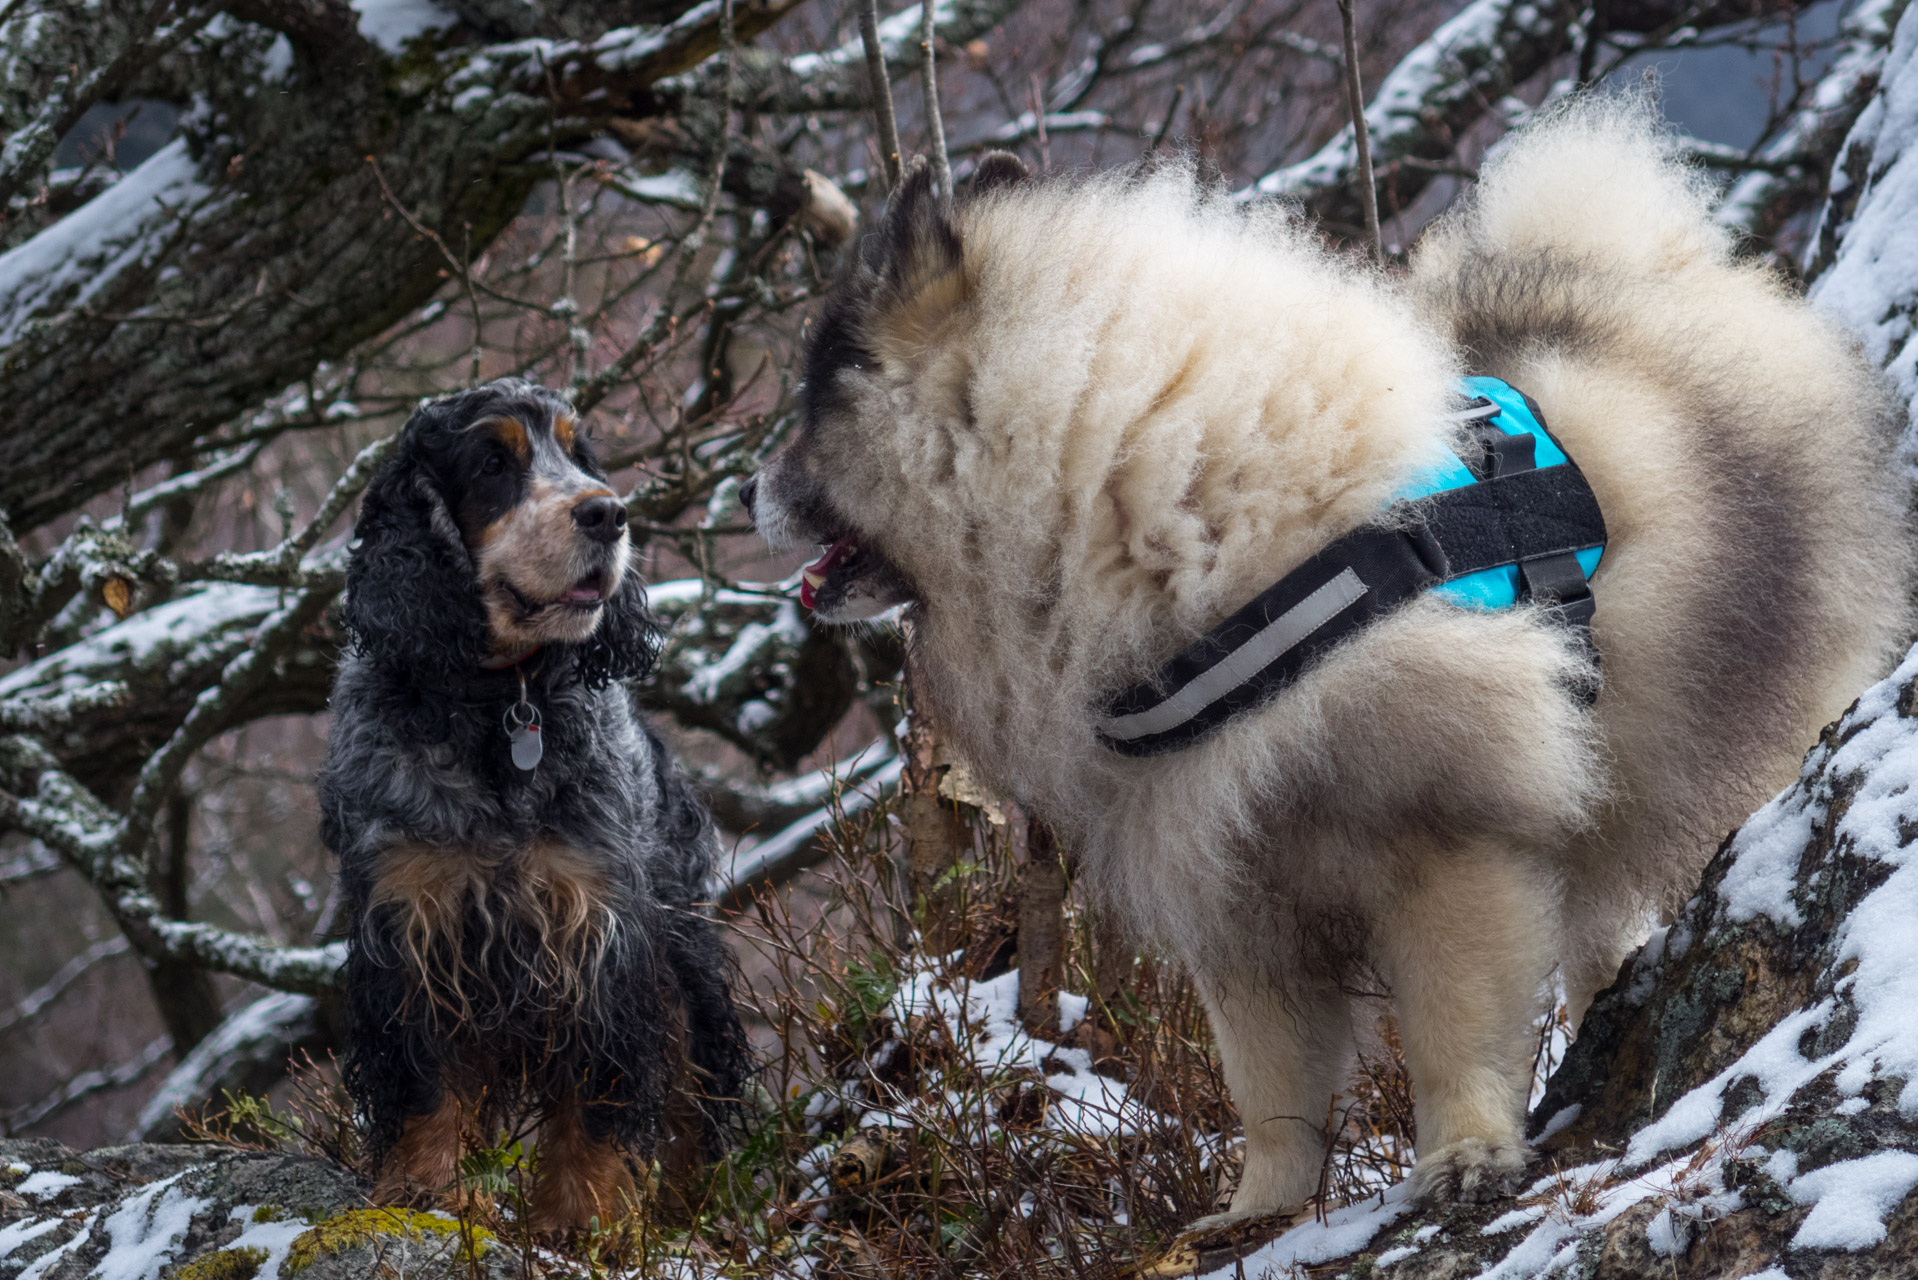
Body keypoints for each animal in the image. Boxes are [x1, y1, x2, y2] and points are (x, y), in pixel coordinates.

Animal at [318, 378, 744, 1228]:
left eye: (580, 456)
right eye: (491, 462)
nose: (608, 513)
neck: (499, 706)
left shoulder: (599, 928)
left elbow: (600, 1093)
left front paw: (582, 1218)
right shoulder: (409, 921)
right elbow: (423, 1083)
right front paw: (421, 1190)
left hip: (687, 949)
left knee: (696, 1090)